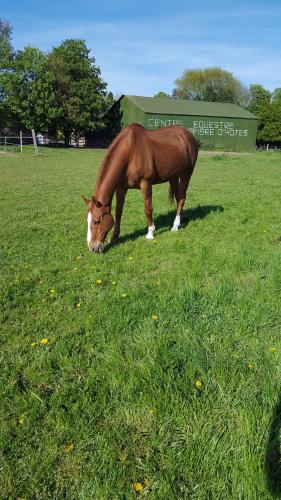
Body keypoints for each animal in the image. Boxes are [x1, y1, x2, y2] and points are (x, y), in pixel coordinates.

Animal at [82, 123, 197, 252]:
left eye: (97, 221)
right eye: (87, 220)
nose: (92, 248)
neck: (130, 152)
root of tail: (188, 135)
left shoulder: (146, 184)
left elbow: (148, 209)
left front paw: (150, 233)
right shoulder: (121, 188)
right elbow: (118, 212)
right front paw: (114, 237)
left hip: (186, 173)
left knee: (182, 198)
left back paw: (175, 226)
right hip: (173, 176)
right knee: (178, 198)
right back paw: (178, 221)